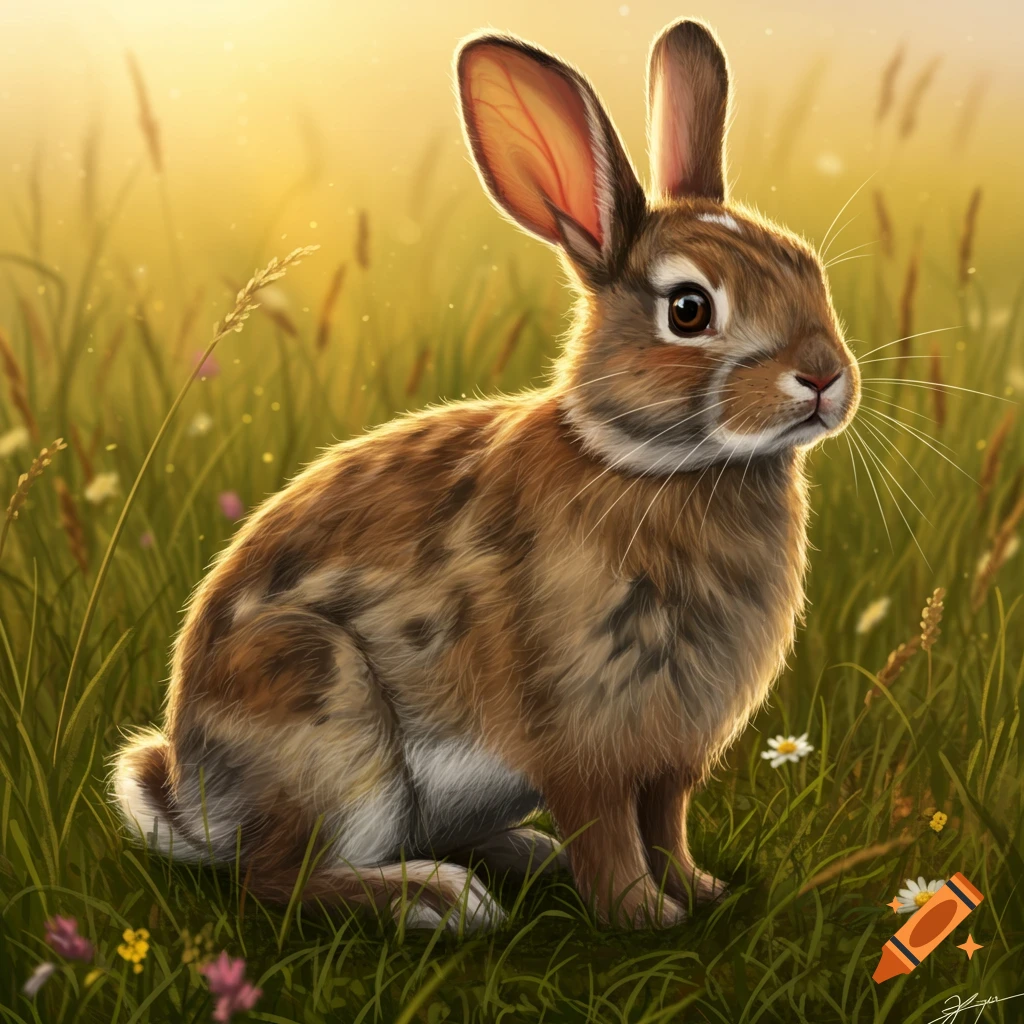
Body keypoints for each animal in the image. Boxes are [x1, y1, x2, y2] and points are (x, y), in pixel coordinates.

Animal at [112, 18, 859, 932]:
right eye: (689, 310)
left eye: (807, 268)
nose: (824, 376)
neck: (661, 462)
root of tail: (196, 803)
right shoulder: (584, 733)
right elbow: (611, 834)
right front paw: (644, 919)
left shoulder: (671, 754)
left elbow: (666, 824)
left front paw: (704, 892)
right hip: (322, 706)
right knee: (276, 879)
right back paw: (437, 899)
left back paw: (521, 856)